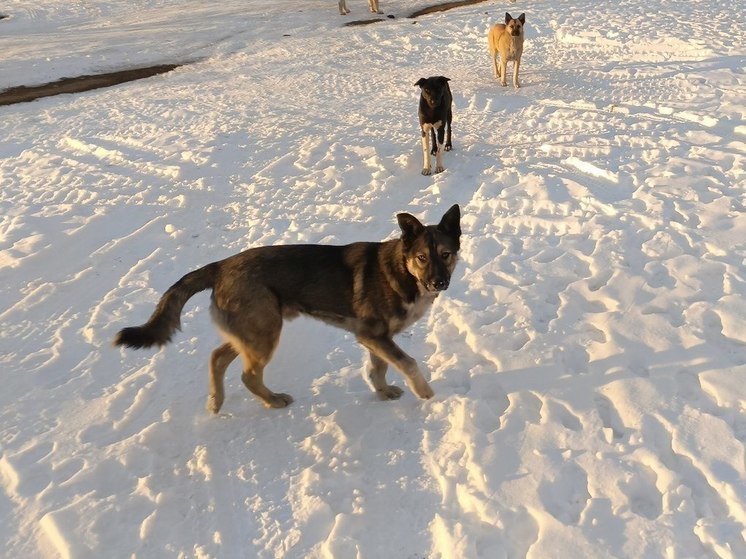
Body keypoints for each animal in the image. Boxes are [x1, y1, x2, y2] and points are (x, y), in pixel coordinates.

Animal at [113, 205, 460, 412]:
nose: (439, 283)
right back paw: (273, 399)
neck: (402, 271)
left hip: (252, 332)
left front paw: (383, 392)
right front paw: (426, 395)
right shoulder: (374, 336)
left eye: (445, 254)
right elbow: (409, 363)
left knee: (217, 357)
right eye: (422, 258)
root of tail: (221, 266)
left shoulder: (376, 339)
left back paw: (216, 400)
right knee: (248, 376)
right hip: (264, 334)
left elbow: (380, 368)